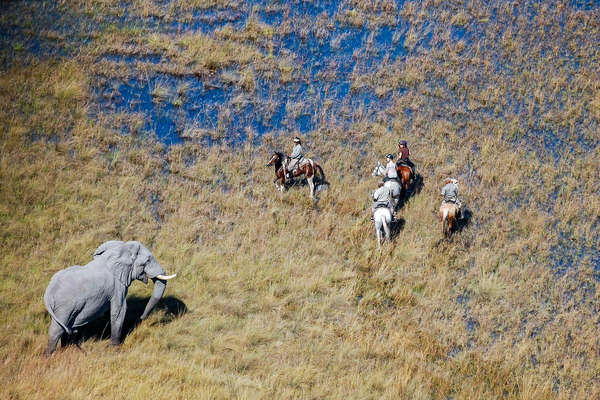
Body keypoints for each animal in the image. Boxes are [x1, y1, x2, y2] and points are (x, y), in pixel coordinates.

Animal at [43, 239, 176, 354]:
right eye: (148, 260)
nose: (141, 318)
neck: (121, 248)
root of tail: (48, 291)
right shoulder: (117, 286)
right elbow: (119, 310)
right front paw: (114, 348)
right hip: (65, 306)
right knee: (57, 329)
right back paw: (50, 356)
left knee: (64, 326)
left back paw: (67, 349)